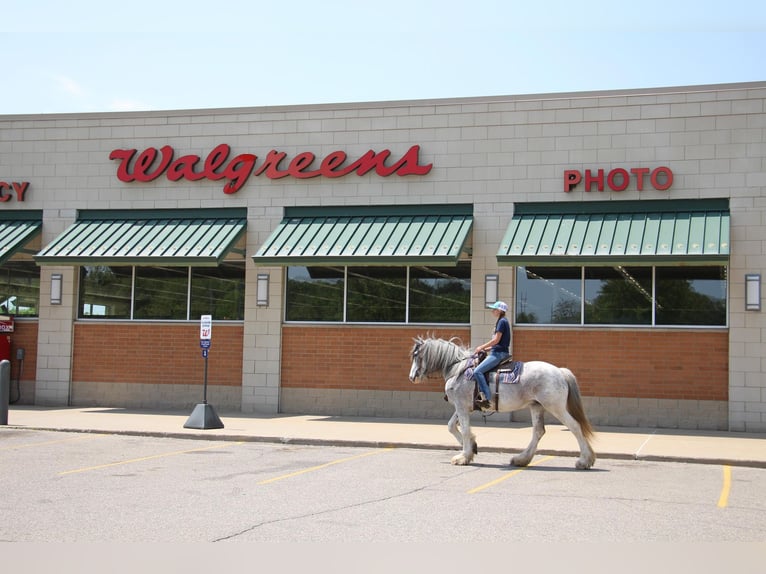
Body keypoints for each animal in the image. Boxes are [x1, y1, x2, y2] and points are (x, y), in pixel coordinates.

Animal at [412, 336, 596, 470]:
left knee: (575, 426)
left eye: (417, 356)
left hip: (555, 407)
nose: (412, 376)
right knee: (538, 431)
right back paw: (521, 459)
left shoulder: (462, 406)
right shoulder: (464, 407)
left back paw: (584, 461)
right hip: (536, 406)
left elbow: (463, 430)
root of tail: (560, 371)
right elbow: (452, 426)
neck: (458, 369)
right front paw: (472, 447)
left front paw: (463, 457)